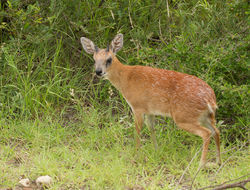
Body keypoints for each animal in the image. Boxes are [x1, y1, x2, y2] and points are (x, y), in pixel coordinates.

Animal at [80, 33, 221, 166]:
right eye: (94, 59)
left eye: (109, 59)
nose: (98, 71)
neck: (125, 79)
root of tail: (210, 99)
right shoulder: (150, 110)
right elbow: (151, 128)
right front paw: (156, 150)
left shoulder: (137, 106)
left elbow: (137, 130)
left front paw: (136, 154)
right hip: (206, 116)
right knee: (216, 131)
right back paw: (217, 162)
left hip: (184, 117)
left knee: (206, 133)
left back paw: (201, 164)